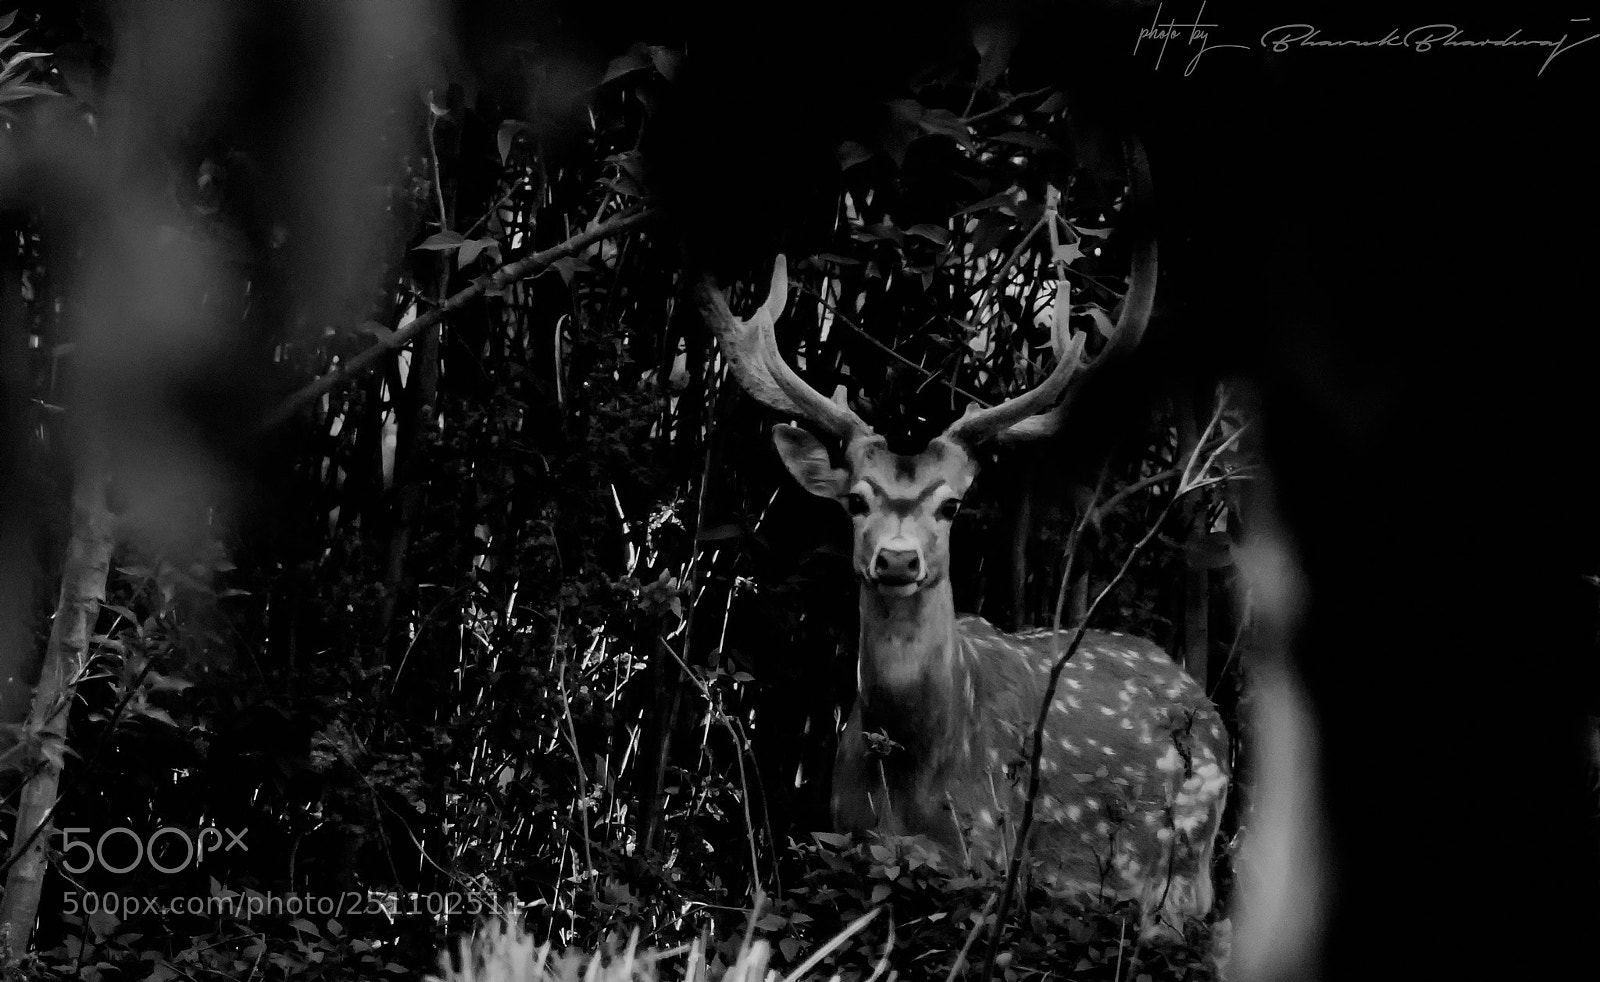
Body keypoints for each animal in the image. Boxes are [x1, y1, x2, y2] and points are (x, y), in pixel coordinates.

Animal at [695, 189, 1229, 936]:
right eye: (855, 500)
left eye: (950, 505)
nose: (896, 559)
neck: (913, 780)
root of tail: (1199, 696)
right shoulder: (841, 827)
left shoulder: (988, 854)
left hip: (1187, 869)